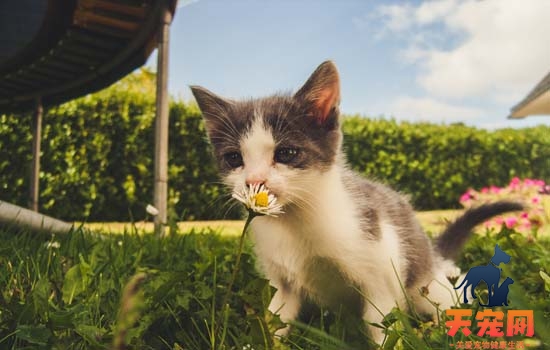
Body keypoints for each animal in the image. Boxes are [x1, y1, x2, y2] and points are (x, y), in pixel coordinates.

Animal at [192, 60, 524, 344]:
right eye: (234, 158)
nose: (254, 181)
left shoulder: (381, 268)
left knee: (447, 298)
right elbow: (276, 319)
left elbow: (381, 324)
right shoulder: (281, 281)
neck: (296, 220)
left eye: (286, 153)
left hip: (424, 283)